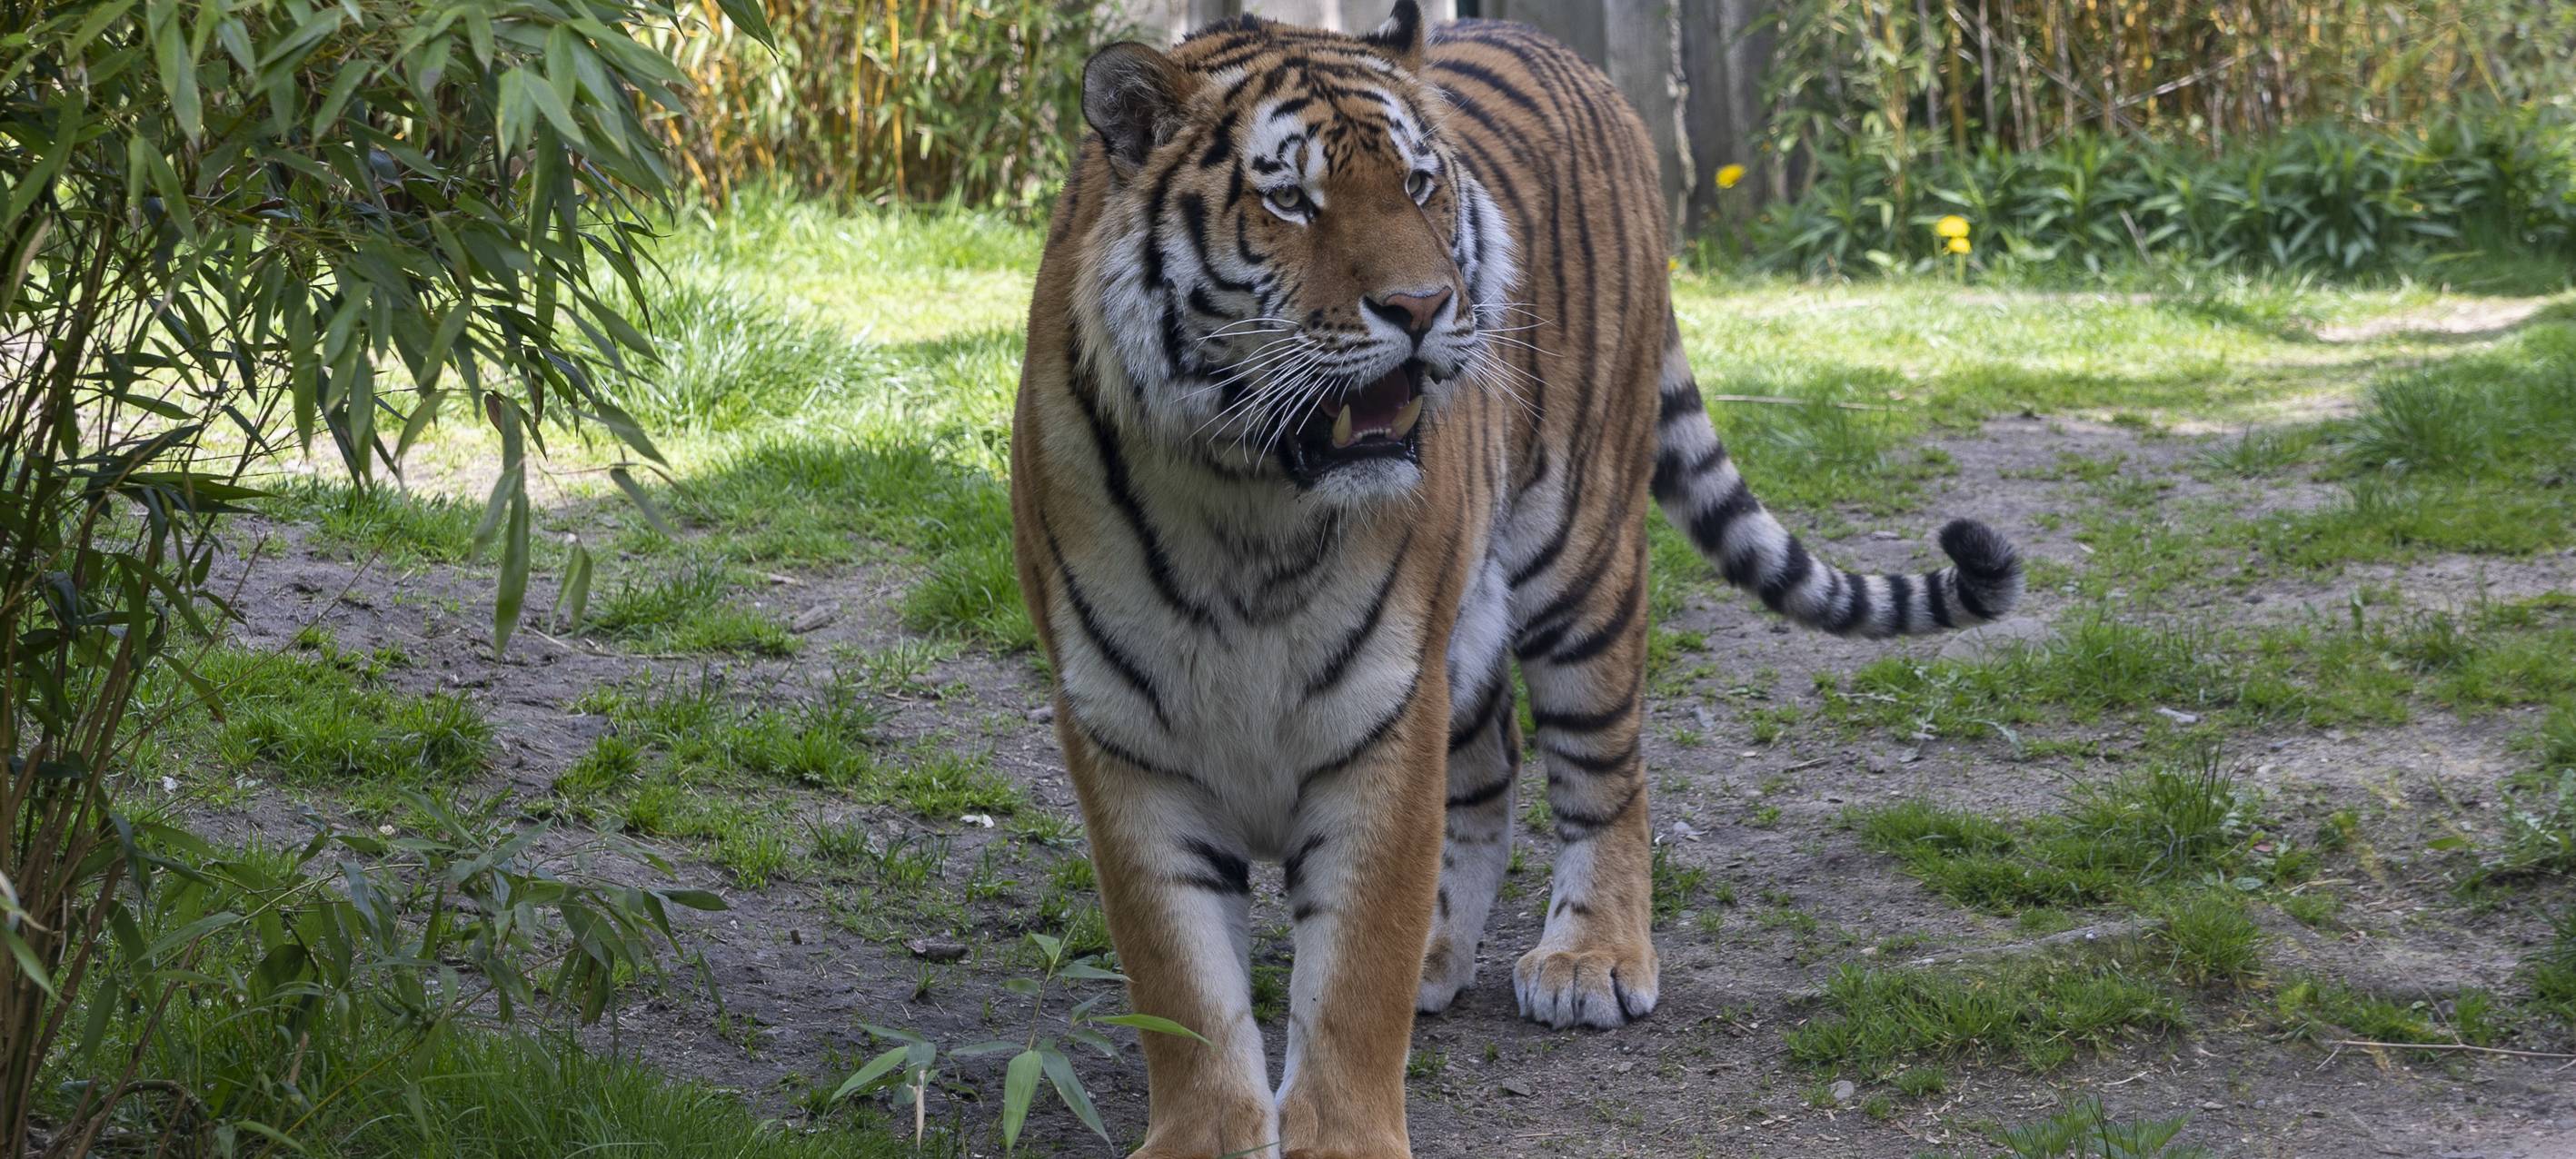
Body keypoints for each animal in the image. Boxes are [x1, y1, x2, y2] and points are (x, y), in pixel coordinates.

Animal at [1008, 4, 2023, 1155]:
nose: (1419, 306)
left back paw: (1592, 959)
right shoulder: (1124, 733)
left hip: (1578, 560)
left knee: (1606, 772)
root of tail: (1567, 53)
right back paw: (1442, 954)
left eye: (1416, 184)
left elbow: (1353, 977)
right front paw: (1209, 1133)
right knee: (1491, 759)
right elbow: (1178, 982)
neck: (1247, 502)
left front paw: (1345, 1134)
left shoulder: (1383, 710)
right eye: (1290, 199)